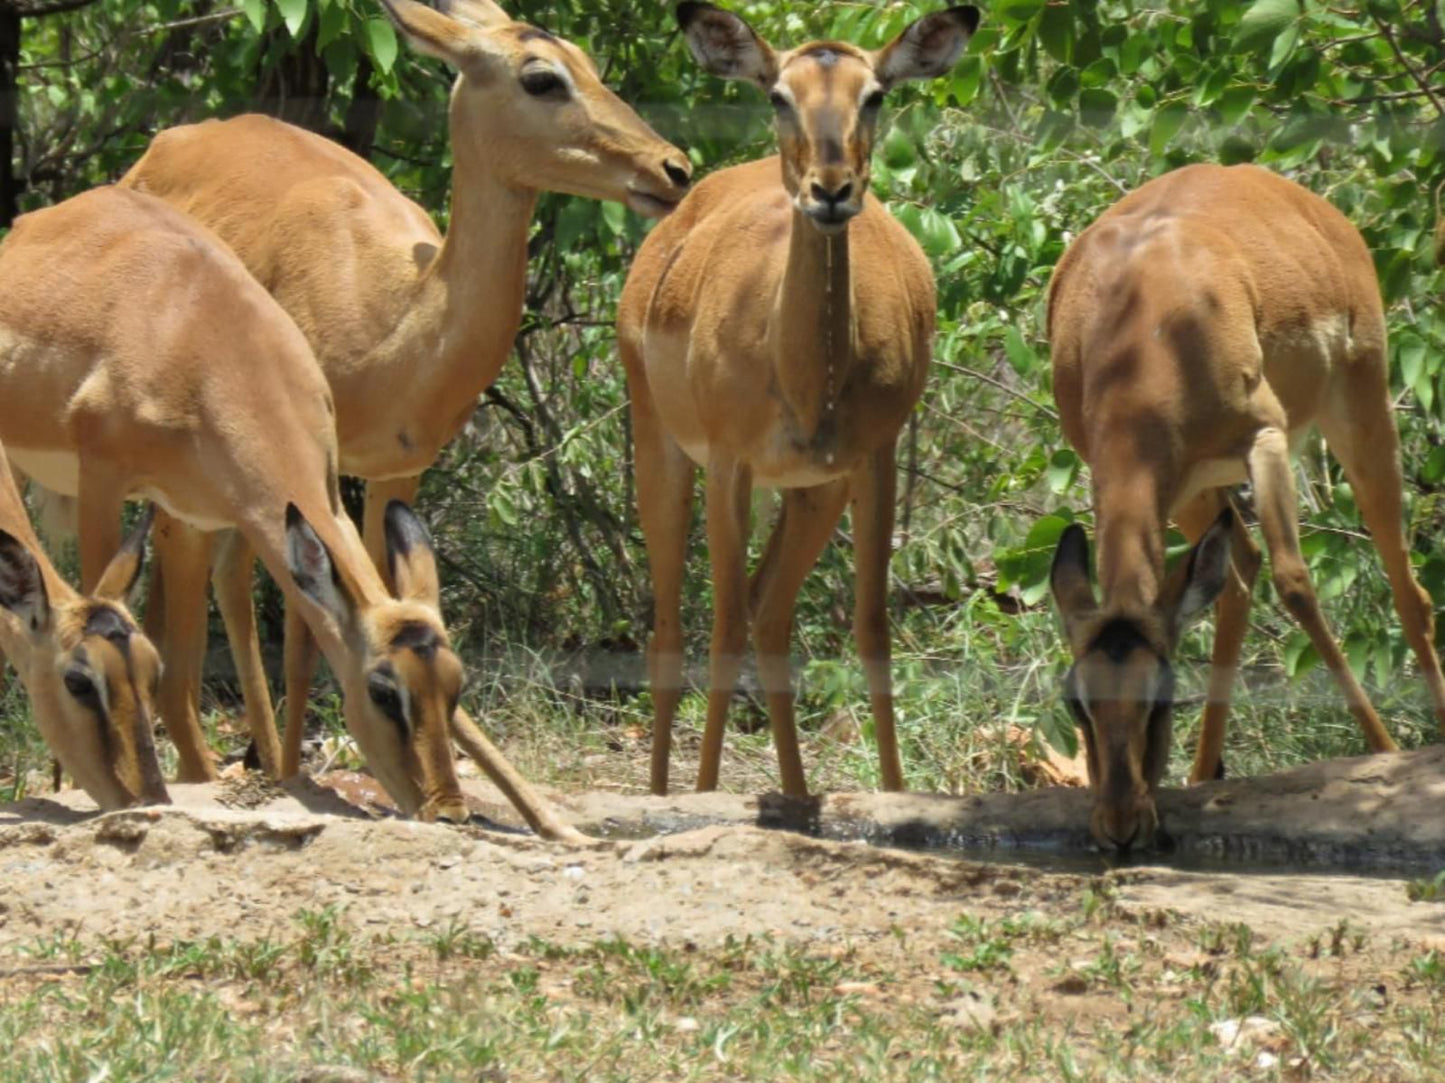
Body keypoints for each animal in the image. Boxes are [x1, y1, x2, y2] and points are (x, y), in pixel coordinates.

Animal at [118, 0, 687, 838]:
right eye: (541, 76)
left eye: (585, 57)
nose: (672, 169)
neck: (394, 314)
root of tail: (167, 143)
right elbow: (308, 636)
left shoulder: (394, 473)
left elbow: (390, 605)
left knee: (227, 580)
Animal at [621, 2, 982, 792]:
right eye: (778, 95)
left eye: (873, 94)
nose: (830, 189)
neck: (805, 379)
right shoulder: (729, 465)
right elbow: (720, 629)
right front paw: (702, 794)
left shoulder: (869, 461)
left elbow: (872, 629)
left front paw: (894, 793)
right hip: (662, 451)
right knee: (675, 629)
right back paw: (663, 790)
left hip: (811, 491)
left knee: (770, 614)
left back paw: (793, 792)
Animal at [1051, 164, 1445, 850]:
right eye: (1077, 699)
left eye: (1161, 695)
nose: (1120, 825)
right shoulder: (1176, 479)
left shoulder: (1265, 438)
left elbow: (1297, 584)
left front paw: (1385, 751)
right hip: (1199, 492)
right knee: (1236, 578)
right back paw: (1203, 773)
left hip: (1361, 410)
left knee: (1406, 591)